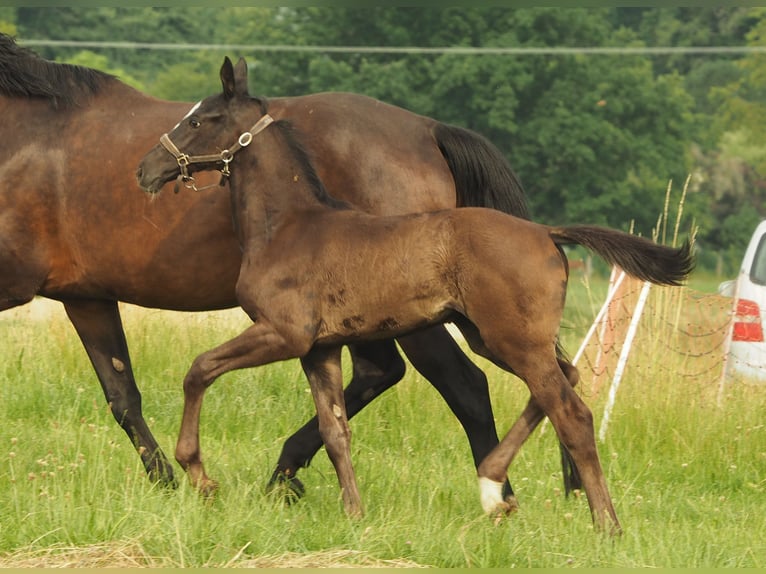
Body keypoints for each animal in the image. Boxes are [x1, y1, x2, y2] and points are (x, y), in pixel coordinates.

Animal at [0, 34, 571, 503]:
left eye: (199, 121)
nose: (144, 170)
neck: (25, 136)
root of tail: (429, 130)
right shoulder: (87, 296)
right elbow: (122, 395)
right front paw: (167, 482)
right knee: (402, 375)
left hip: (422, 319)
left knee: (466, 385)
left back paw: (497, 492)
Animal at [136, 57, 694, 533]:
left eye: (201, 119)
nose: (145, 168)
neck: (289, 225)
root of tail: (546, 232)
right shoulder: (319, 348)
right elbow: (335, 430)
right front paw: (354, 514)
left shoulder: (283, 334)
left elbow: (199, 369)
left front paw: (199, 475)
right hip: (490, 336)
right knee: (565, 382)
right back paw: (495, 486)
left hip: (511, 339)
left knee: (572, 413)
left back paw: (602, 524)